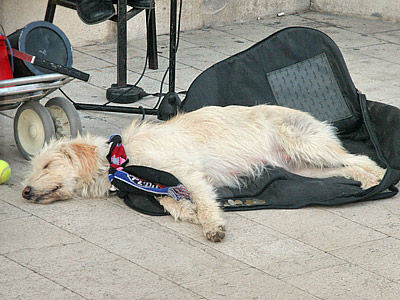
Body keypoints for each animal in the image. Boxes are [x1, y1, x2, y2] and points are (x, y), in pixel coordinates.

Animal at [21, 105, 384, 241]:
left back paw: (379, 178)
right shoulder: (163, 187)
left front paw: (212, 226)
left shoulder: (187, 173)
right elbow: (176, 206)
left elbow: (204, 201)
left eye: (47, 165)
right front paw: (193, 215)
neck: (118, 161)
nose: (24, 191)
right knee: (348, 165)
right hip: (303, 166)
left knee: (362, 157)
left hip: (304, 146)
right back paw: (363, 182)